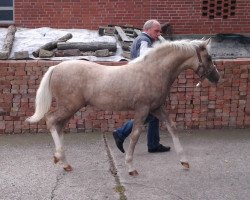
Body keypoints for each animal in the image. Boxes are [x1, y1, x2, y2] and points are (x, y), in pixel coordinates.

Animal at [26, 38, 220, 176]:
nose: (217, 77)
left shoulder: (156, 108)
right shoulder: (143, 109)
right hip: (69, 106)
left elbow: (172, 128)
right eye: (209, 57)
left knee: (59, 126)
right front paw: (131, 167)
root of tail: (56, 67)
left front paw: (184, 161)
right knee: (51, 121)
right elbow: (135, 135)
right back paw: (59, 157)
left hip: (69, 108)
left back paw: (65, 163)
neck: (152, 71)